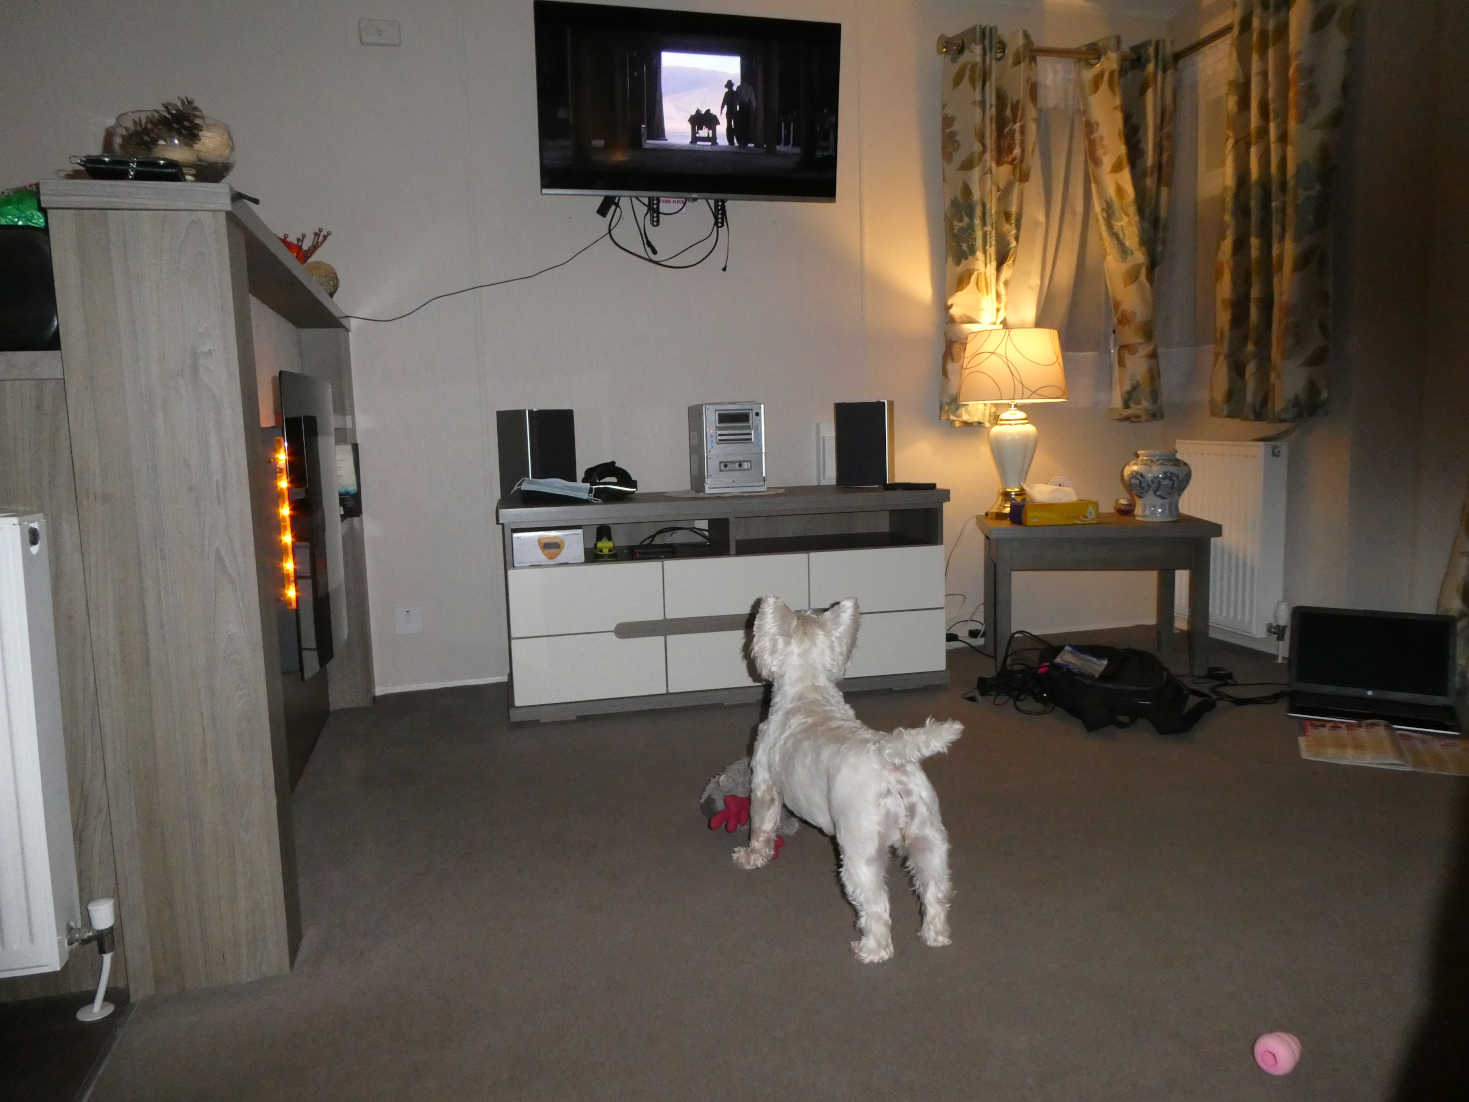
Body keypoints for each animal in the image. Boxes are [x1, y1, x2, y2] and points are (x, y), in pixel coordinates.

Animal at [734, 596, 963, 963]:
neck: (809, 691)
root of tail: (889, 758)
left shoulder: (765, 785)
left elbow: (761, 827)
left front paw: (751, 857)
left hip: (860, 851)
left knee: (876, 907)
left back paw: (869, 950)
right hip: (929, 840)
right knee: (935, 891)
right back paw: (935, 936)